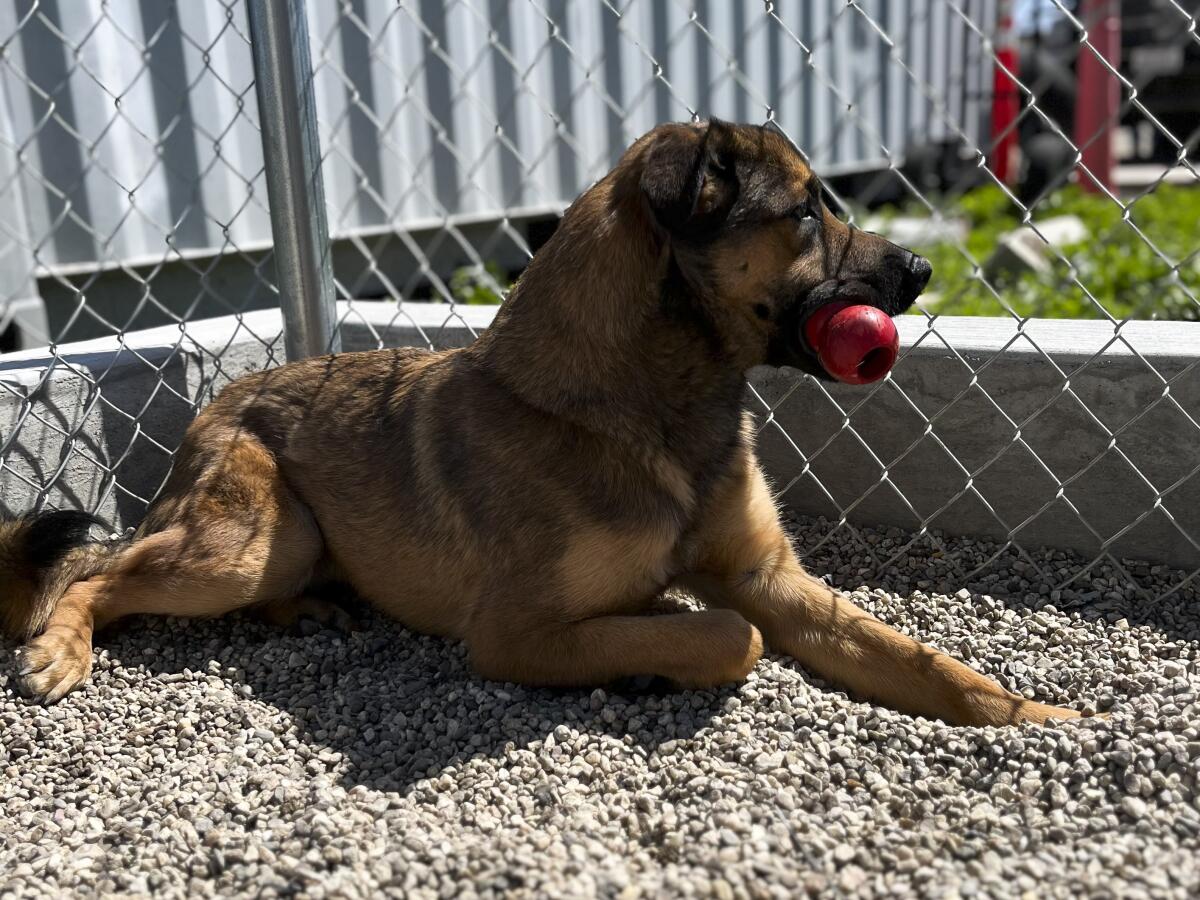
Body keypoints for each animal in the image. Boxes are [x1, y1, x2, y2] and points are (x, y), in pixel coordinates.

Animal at [0, 120, 1084, 729]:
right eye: (808, 214)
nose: (922, 270)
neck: (650, 406)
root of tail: (220, 398)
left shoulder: (772, 576)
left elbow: (917, 658)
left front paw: (1031, 711)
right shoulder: (514, 635)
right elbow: (727, 633)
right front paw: (652, 650)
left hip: (270, 550)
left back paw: (308, 611)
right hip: (249, 542)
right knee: (95, 573)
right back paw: (59, 650)